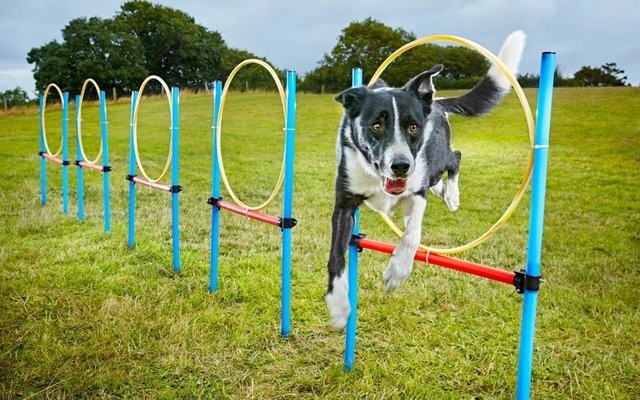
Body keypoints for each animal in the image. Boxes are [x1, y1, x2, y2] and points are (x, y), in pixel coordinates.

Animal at [324, 31, 524, 328]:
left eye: (413, 127)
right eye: (376, 125)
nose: (401, 166)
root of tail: (435, 102)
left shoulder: (417, 192)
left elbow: (412, 234)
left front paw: (397, 271)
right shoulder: (345, 202)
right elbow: (336, 255)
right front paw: (338, 305)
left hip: (436, 159)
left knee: (456, 157)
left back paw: (451, 194)